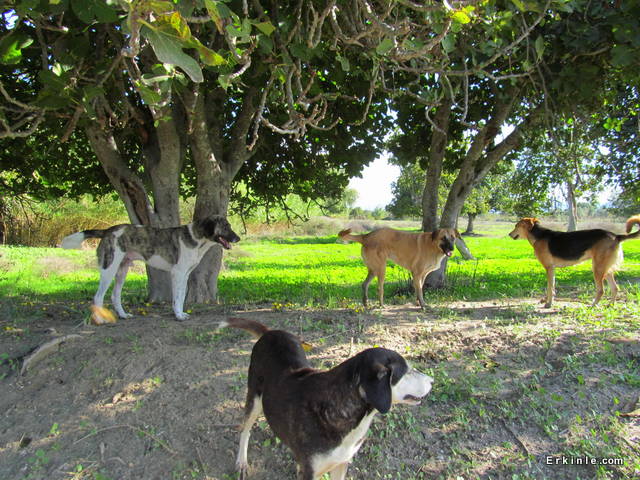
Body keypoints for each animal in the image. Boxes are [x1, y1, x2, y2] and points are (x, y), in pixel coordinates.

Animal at [62, 216, 240, 320]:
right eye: (226, 226)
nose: (238, 238)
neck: (196, 237)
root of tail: (108, 230)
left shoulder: (185, 275)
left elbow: (181, 295)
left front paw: (181, 313)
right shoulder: (178, 273)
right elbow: (177, 297)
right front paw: (178, 315)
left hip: (122, 270)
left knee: (115, 295)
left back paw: (123, 315)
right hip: (109, 269)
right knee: (98, 297)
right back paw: (100, 319)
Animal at [220, 316, 436, 478]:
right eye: (406, 371)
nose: (432, 381)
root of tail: (269, 332)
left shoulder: (341, 463)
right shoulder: (311, 471)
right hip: (254, 398)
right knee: (245, 430)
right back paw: (242, 462)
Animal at [510, 215, 640, 308]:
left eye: (517, 226)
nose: (509, 234)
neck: (539, 235)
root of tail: (615, 235)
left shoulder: (549, 268)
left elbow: (550, 288)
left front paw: (548, 304)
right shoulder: (552, 269)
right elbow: (552, 287)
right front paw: (548, 301)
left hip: (597, 268)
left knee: (601, 290)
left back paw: (593, 305)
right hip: (606, 269)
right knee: (615, 288)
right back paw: (610, 305)